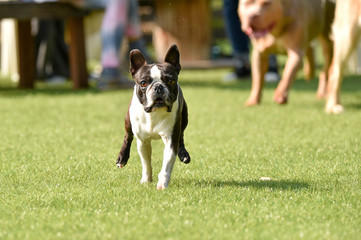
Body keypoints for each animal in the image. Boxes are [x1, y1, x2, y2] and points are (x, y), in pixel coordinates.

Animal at [115, 44, 190, 189]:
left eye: (170, 81)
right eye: (143, 83)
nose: (158, 87)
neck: (154, 114)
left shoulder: (170, 139)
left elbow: (166, 164)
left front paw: (162, 183)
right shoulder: (143, 141)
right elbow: (146, 162)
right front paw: (146, 180)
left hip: (184, 118)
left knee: (182, 137)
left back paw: (183, 154)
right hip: (128, 121)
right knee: (128, 137)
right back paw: (122, 158)